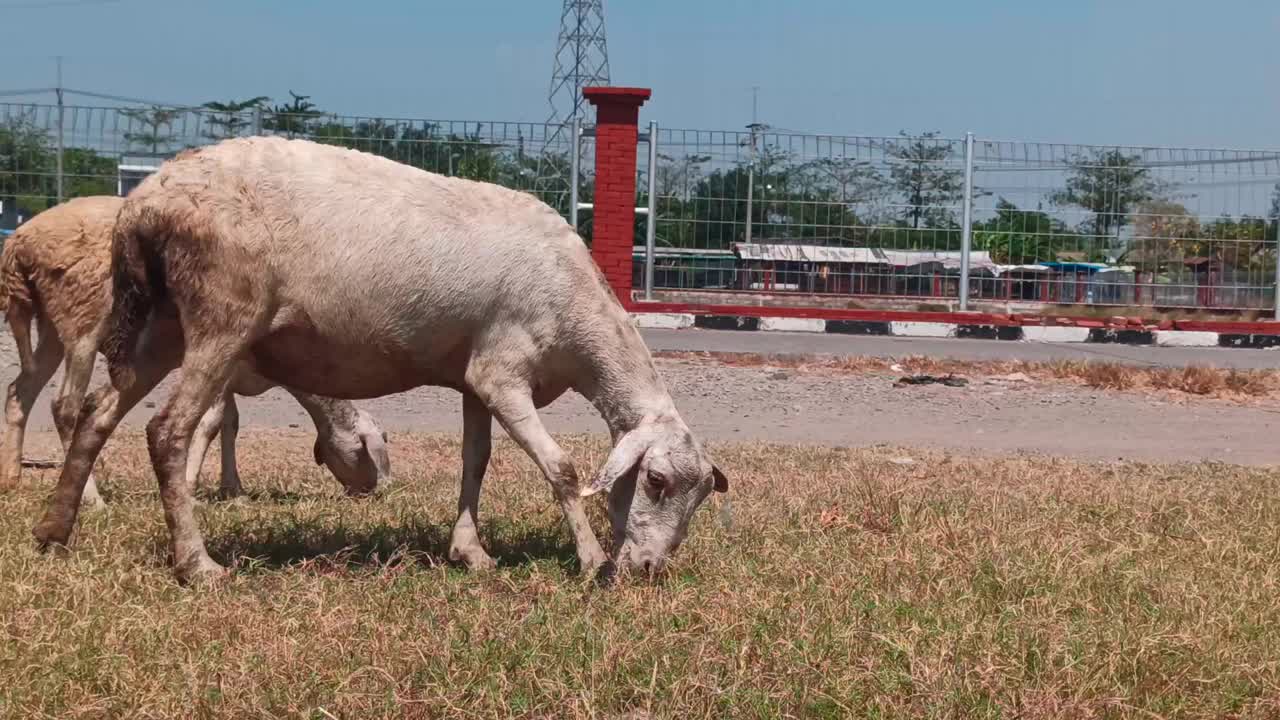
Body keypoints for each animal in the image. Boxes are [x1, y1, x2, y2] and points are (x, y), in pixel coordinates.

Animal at [1, 193, 389, 502]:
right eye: (369, 447)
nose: (373, 491)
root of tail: (20, 241)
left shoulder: (232, 372)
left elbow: (231, 423)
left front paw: (232, 488)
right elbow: (211, 422)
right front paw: (190, 483)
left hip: (51, 326)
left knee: (21, 391)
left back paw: (12, 477)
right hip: (82, 318)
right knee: (64, 406)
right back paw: (92, 499)